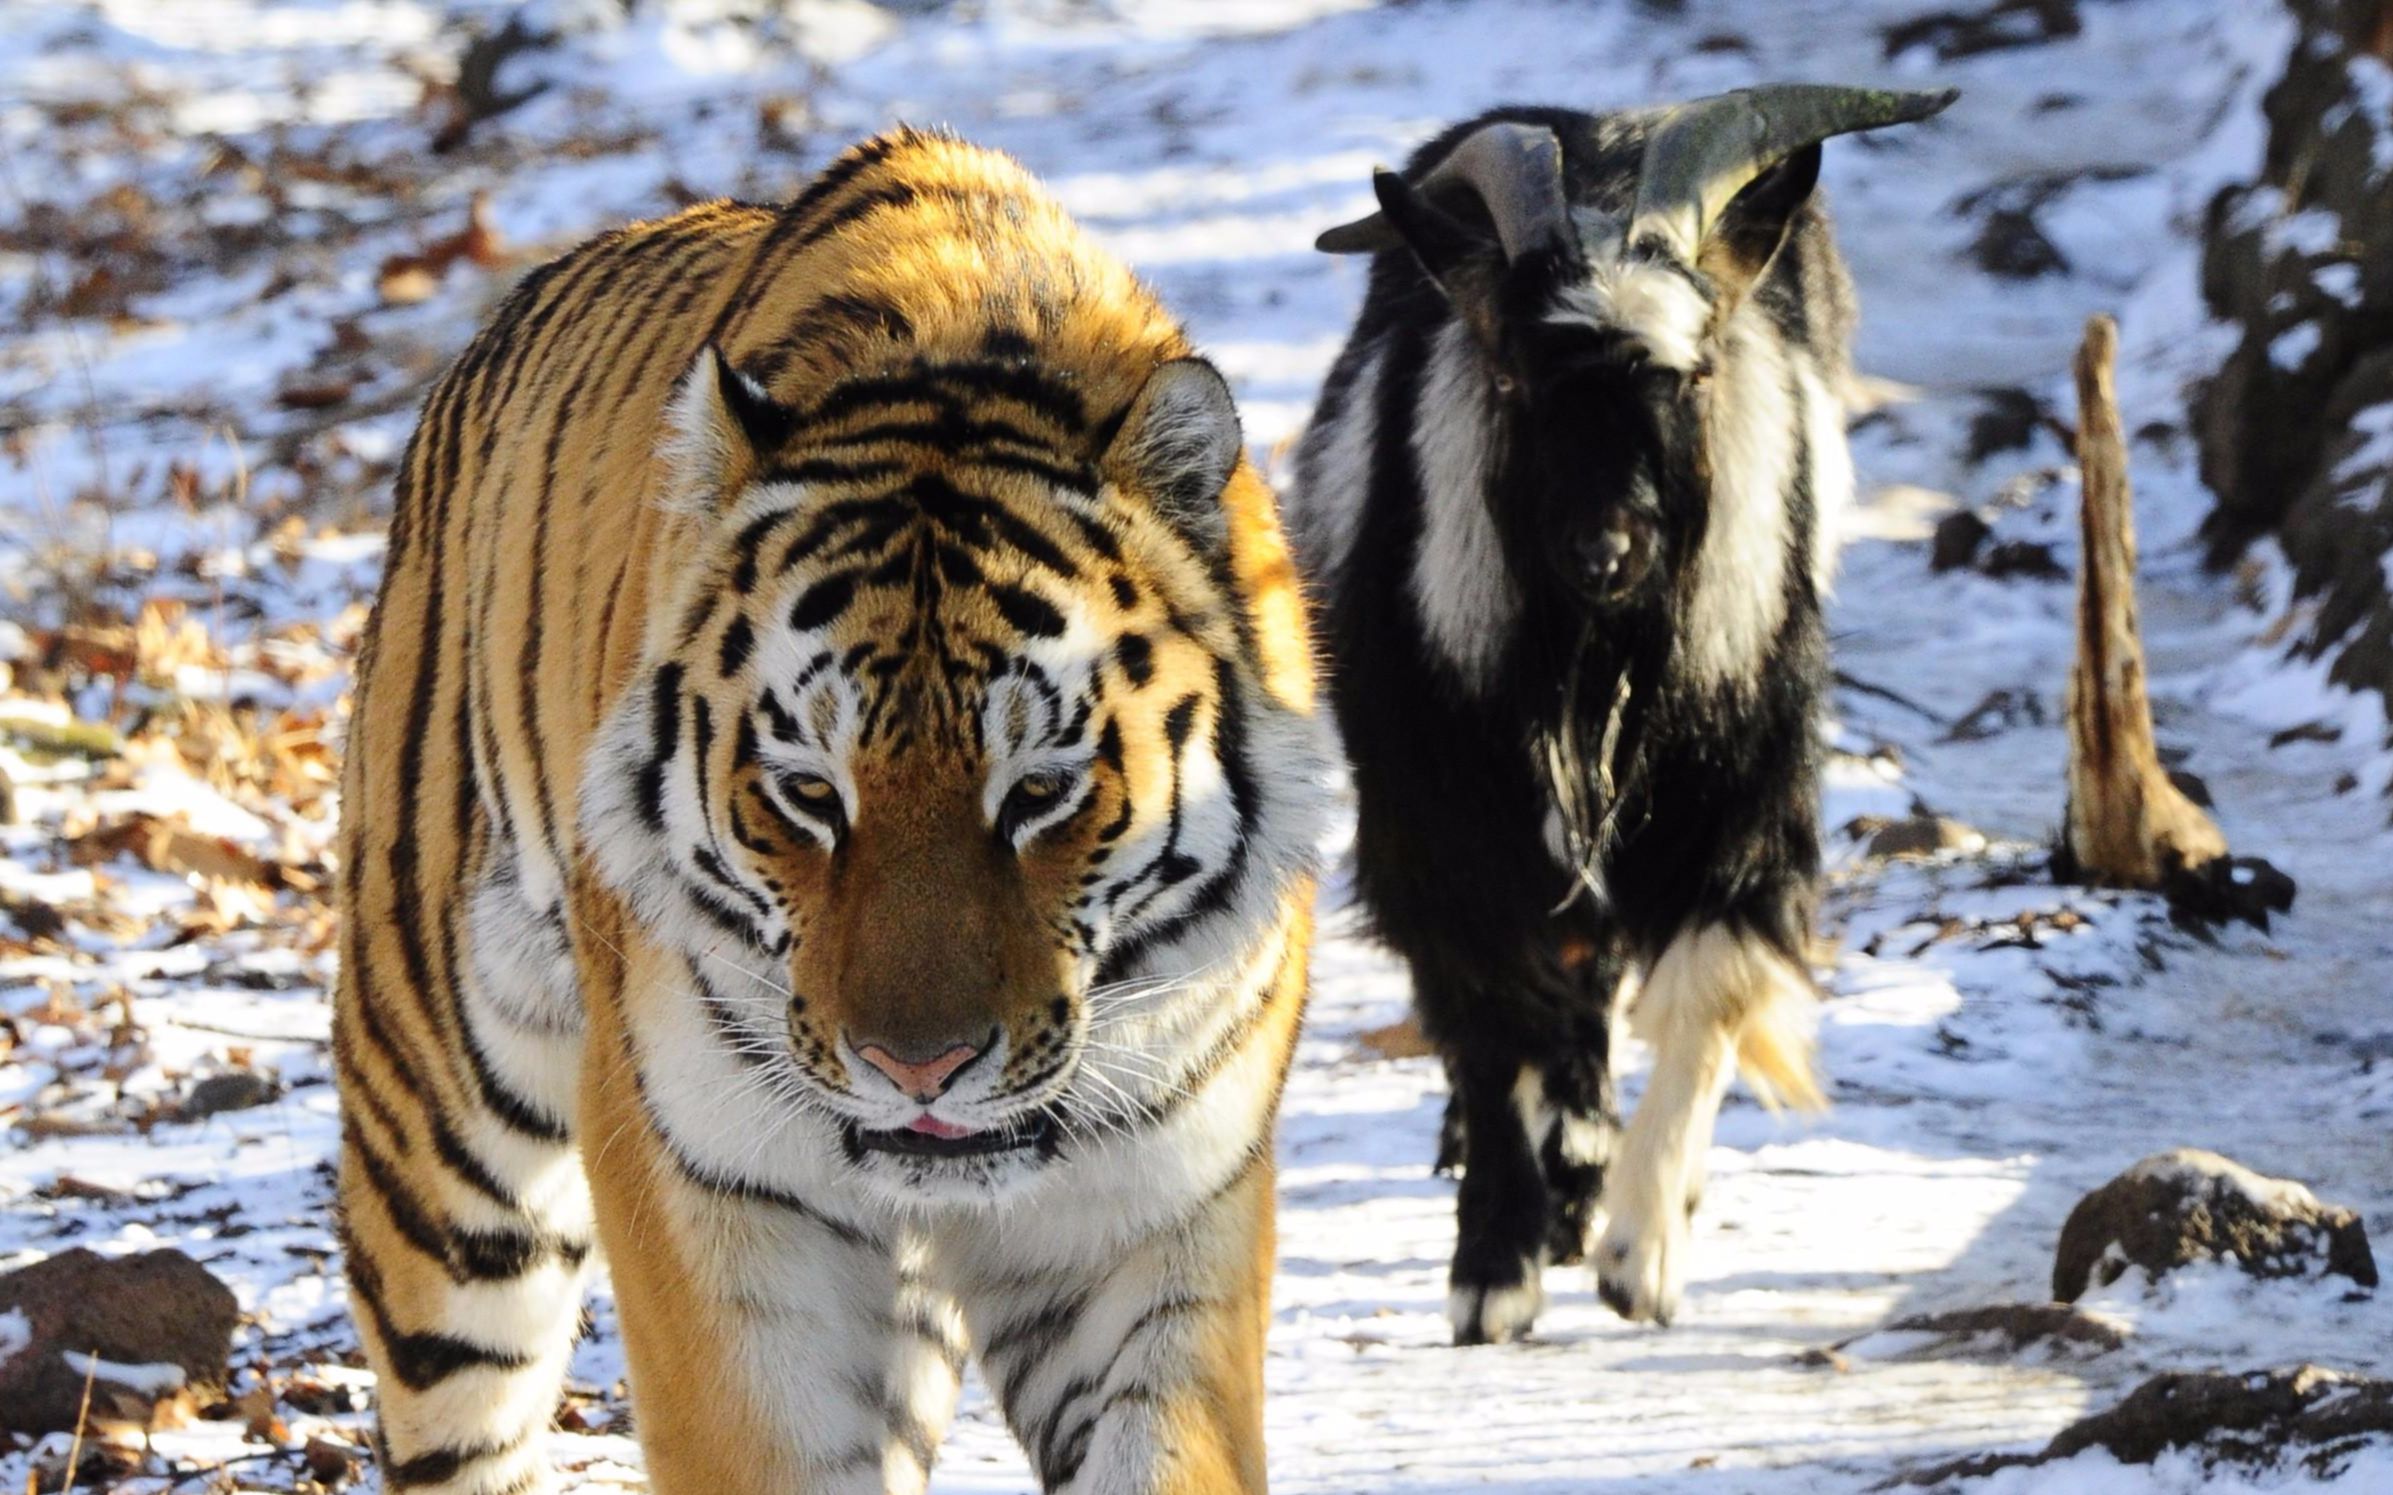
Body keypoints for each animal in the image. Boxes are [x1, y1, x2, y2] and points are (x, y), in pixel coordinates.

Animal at [332, 130, 1349, 1492]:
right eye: (810, 793)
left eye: (1038, 791)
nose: (915, 1066)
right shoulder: (707, 1190)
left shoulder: (1155, 1212)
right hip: (443, 1157)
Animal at [1301, 84, 1952, 1339]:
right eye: (1511, 377)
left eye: (1691, 376)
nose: (1605, 551)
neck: (1591, 659)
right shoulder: (1434, 813)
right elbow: (1491, 1015)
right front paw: (1493, 1269)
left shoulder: (1741, 787)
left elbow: (1706, 995)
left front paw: (1638, 1254)